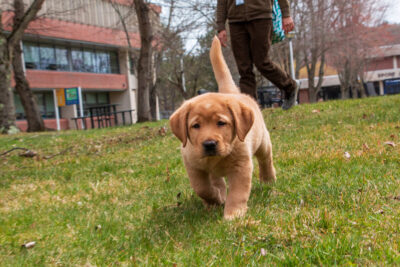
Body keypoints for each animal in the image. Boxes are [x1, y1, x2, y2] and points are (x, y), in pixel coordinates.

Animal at [168, 36, 276, 221]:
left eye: (221, 123)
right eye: (195, 126)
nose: (209, 144)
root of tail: (231, 93)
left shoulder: (241, 167)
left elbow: (238, 193)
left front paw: (233, 214)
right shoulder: (193, 166)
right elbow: (202, 188)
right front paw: (216, 199)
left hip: (262, 141)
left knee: (265, 159)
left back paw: (268, 179)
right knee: (216, 180)